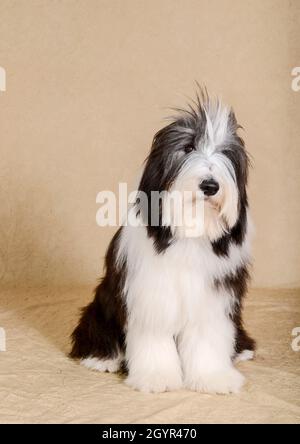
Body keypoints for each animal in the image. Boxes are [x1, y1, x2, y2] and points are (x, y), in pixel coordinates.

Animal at [71, 88, 255, 394]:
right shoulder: (150, 294)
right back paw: (102, 358)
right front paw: (157, 377)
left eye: (225, 153)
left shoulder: (213, 298)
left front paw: (213, 377)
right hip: (101, 306)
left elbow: (207, 337)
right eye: (188, 147)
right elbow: (154, 337)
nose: (210, 185)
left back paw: (242, 350)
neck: (191, 230)